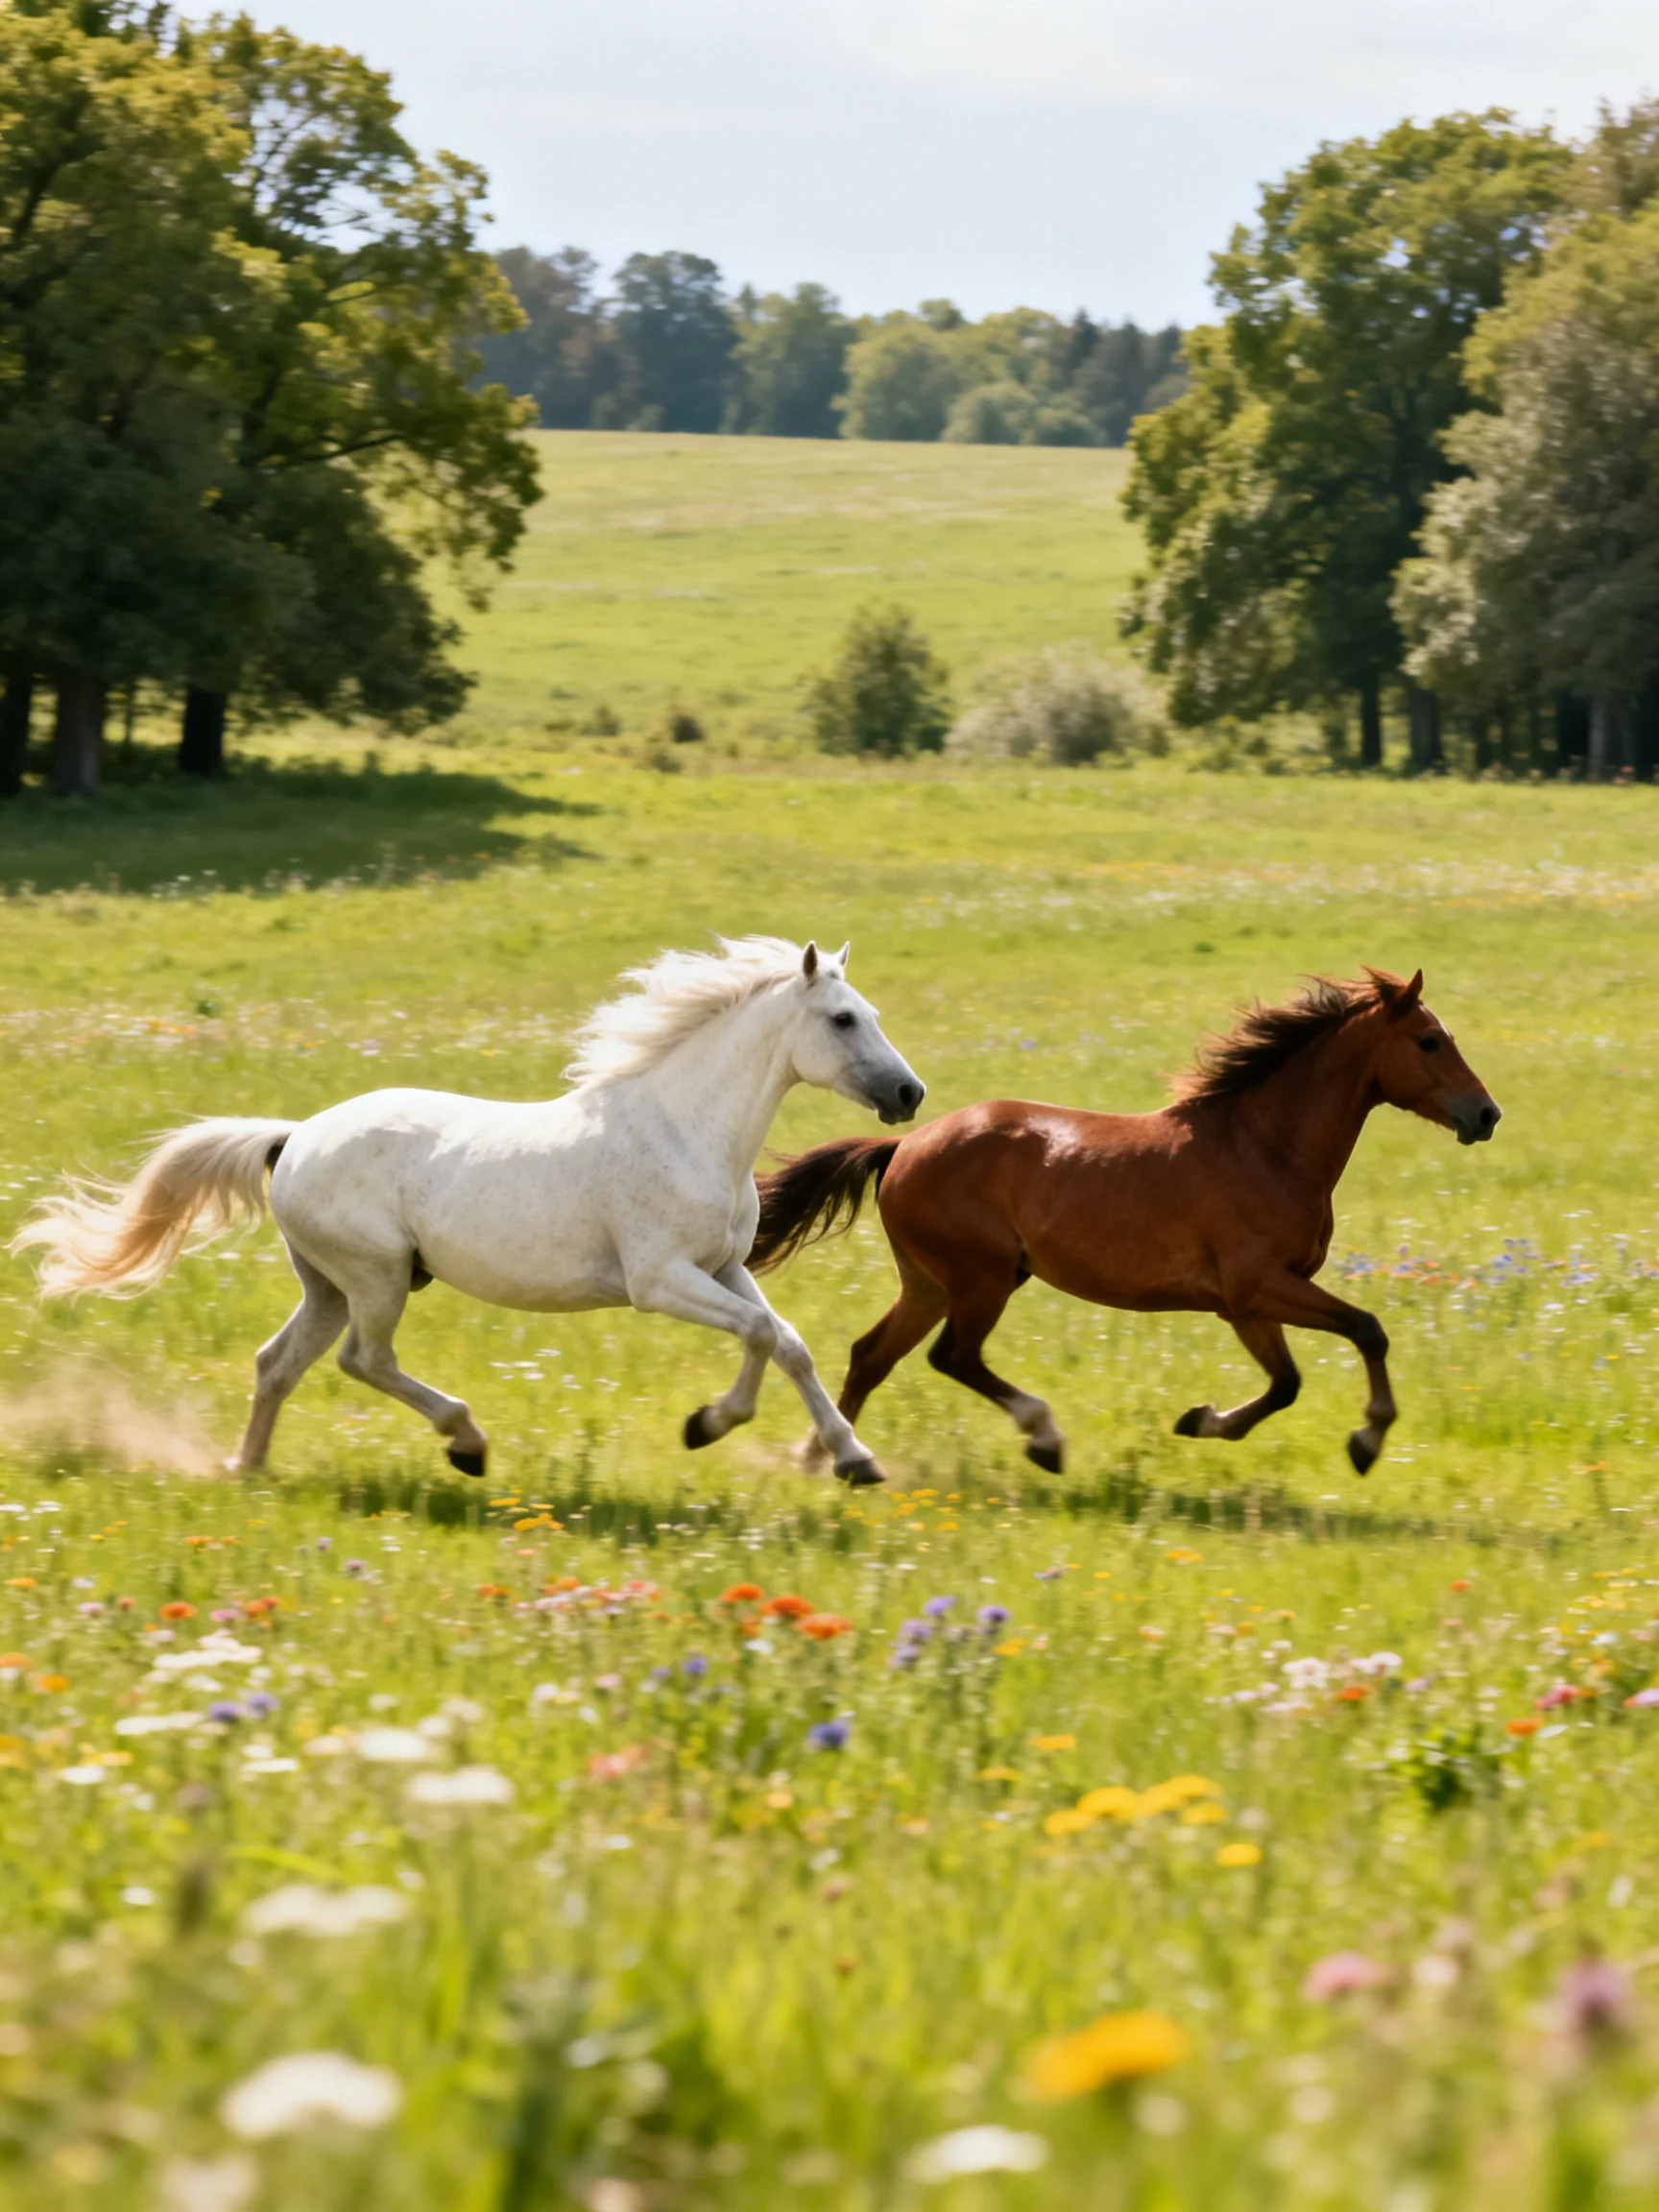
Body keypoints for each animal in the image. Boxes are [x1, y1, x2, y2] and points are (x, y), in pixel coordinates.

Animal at [13, 937, 925, 1486]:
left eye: (875, 1015)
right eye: (843, 1018)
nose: (910, 1094)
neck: (685, 1128)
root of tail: (295, 1136)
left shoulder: (723, 1266)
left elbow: (790, 1343)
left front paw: (856, 1460)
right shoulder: (659, 1280)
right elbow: (763, 1336)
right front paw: (709, 1424)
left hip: (329, 1283)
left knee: (279, 1363)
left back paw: (250, 1468)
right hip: (376, 1276)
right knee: (363, 1360)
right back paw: (466, 1443)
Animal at [749, 968, 1499, 1480]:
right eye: (1430, 1042)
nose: (1487, 1115)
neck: (1264, 1147)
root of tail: (902, 1145)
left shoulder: (1247, 1306)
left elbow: (1286, 1383)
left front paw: (1200, 1420)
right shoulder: (1257, 1287)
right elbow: (1364, 1332)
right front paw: (1366, 1441)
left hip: (932, 1282)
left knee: (873, 1354)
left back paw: (826, 1459)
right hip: (980, 1278)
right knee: (951, 1357)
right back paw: (1043, 1440)